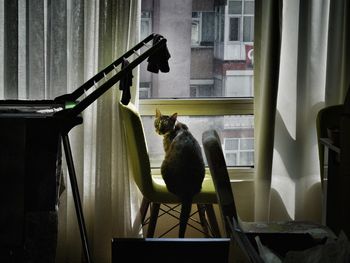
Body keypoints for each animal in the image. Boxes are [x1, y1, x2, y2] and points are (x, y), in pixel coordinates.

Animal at [154, 108, 205, 238]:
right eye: (157, 123)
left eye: (165, 125)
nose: (159, 130)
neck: (179, 127)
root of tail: (188, 190)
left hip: (164, 164)